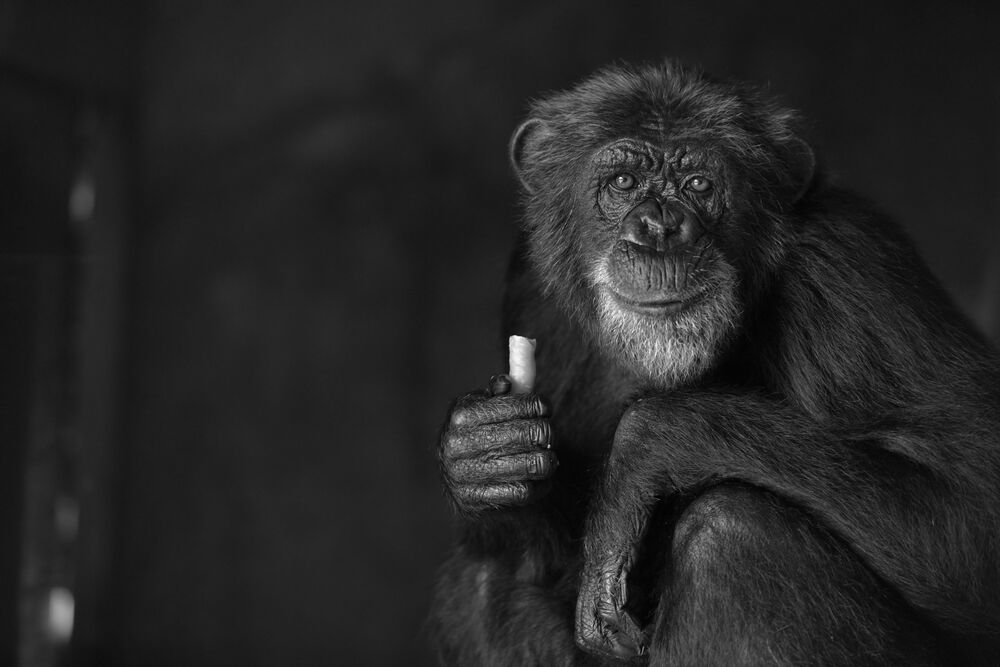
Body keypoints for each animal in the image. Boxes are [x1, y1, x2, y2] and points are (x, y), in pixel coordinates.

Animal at [432, 60, 1000, 666]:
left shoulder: (853, 273)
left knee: (729, 535)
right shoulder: (529, 286)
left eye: (699, 185)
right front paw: (482, 450)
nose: (659, 228)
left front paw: (646, 442)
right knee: (481, 582)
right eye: (623, 183)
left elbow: (972, 502)